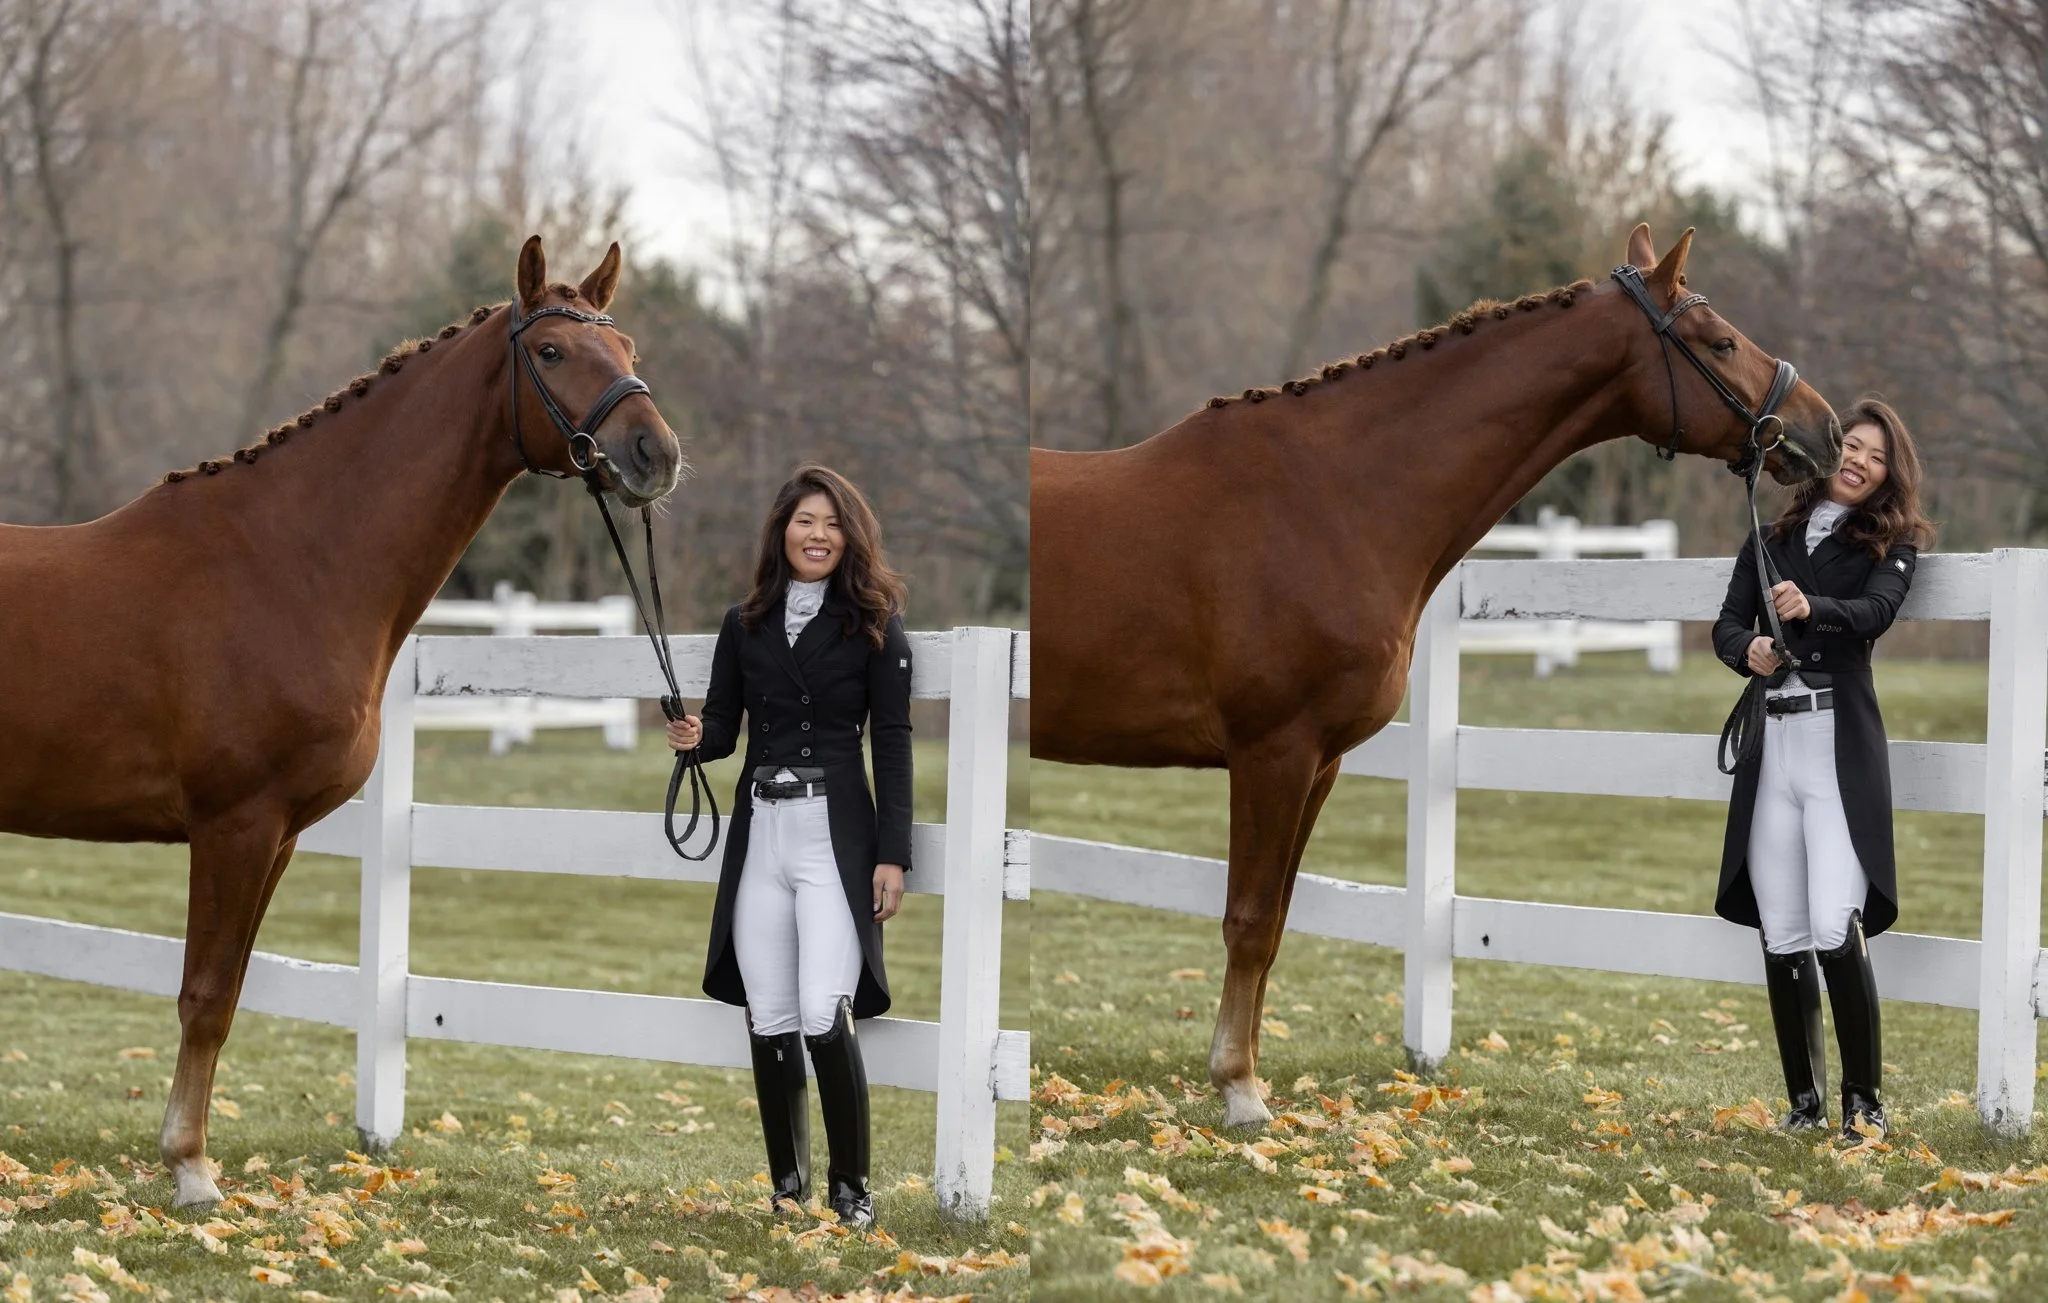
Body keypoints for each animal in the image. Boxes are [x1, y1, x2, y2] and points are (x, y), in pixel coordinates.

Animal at [0, 237, 682, 1207]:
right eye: (550, 352)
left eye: (624, 343)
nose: (654, 453)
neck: (291, 563)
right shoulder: (235, 823)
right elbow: (204, 995)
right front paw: (191, 1170)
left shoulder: (278, 834)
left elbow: (228, 994)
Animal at [1030, 224, 1843, 1128]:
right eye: (1720, 341)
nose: (1825, 430)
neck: (1331, 500)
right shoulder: (1272, 750)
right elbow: (1248, 919)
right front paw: (1240, 1091)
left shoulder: (1319, 761)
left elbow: (1273, 924)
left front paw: (1245, 1076)